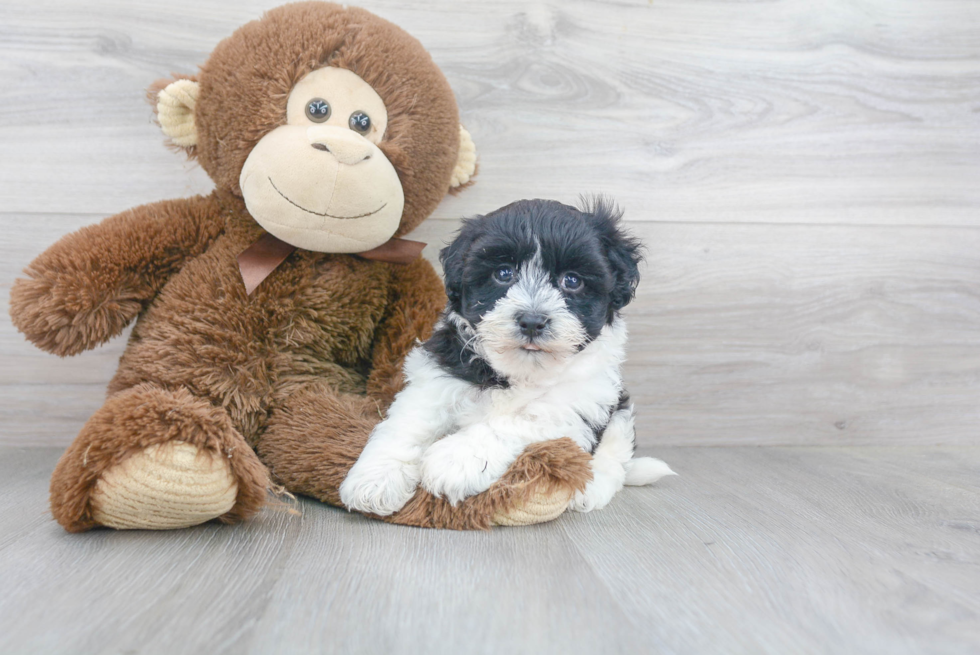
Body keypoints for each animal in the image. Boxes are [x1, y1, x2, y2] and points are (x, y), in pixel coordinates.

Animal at [338, 200, 672, 516]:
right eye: (503, 273)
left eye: (572, 281)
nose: (532, 321)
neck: (521, 370)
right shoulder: (440, 373)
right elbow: (410, 421)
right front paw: (376, 479)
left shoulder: (578, 402)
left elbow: (516, 420)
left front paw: (454, 459)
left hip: (619, 412)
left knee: (616, 455)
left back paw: (593, 487)